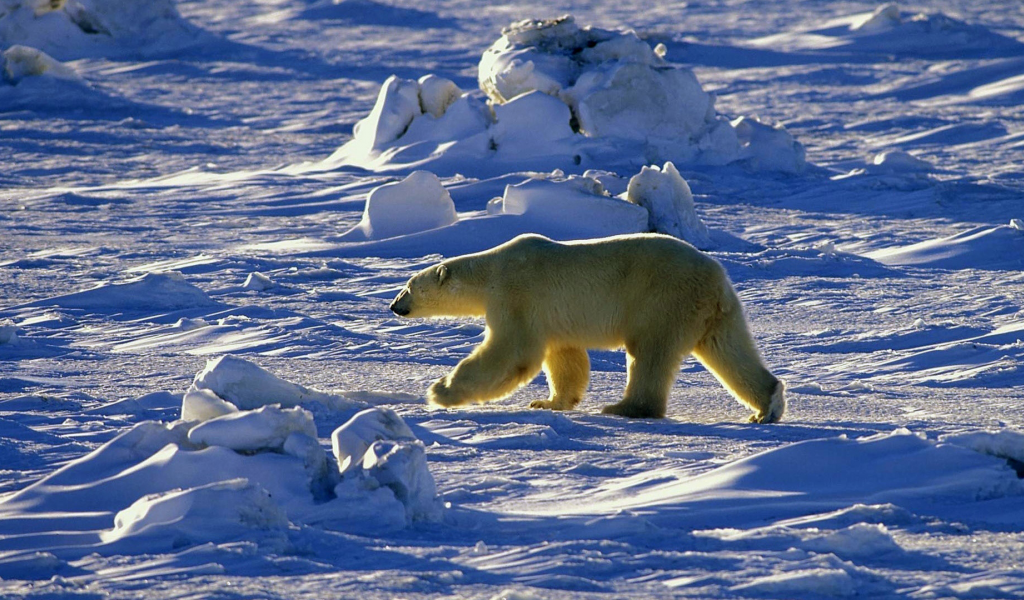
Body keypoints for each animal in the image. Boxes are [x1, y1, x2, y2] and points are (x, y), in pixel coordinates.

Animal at [389, 233, 782, 419]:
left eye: (409, 286)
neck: (492, 271)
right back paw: (767, 406)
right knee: (730, 350)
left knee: (649, 353)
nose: (394, 306)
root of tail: (717, 278)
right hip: (716, 313)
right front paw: (548, 402)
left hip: (663, 299)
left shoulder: (517, 295)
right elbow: (565, 357)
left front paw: (440, 390)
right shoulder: (551, 317)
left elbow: (513, 352)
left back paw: (625, 407)